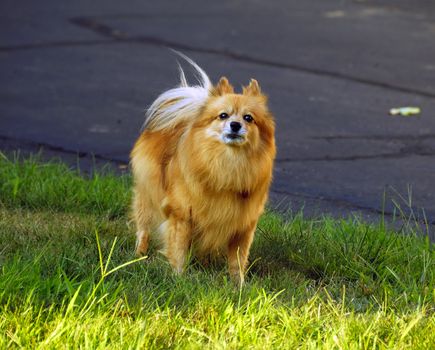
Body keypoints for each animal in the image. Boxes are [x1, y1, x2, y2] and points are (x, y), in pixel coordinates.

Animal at [131, 54, 278, 284]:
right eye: (223, 115)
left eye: (248, 118)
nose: (235, 125)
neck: (228, 163)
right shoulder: (182, 215)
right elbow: (178, 250)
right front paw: (179, 278)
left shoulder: (243, 226)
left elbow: (238, 260)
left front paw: (239, 286)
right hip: (148, 194)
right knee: (143, 227)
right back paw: (138, 255)